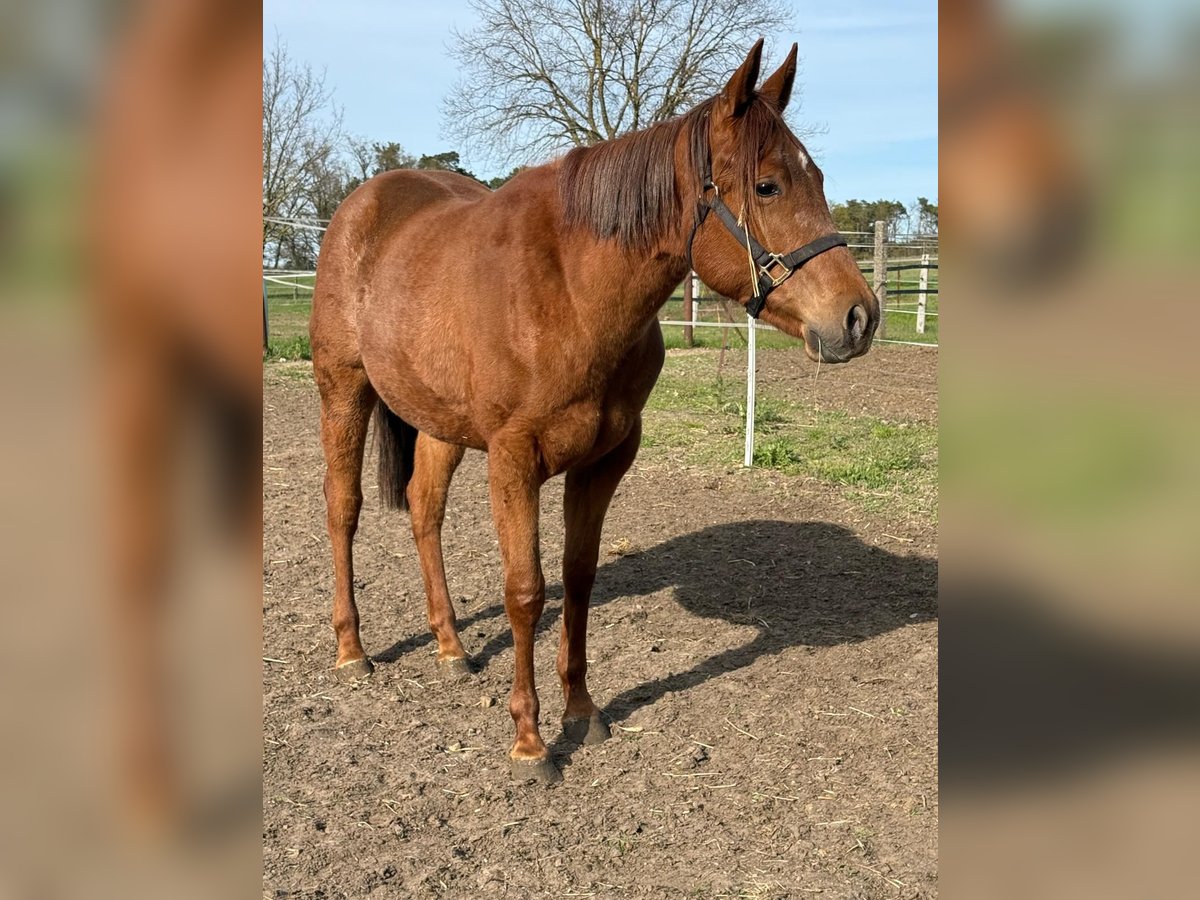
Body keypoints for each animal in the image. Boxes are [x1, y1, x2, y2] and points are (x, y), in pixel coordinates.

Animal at [310, 40, 879, 782]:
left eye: (817, 178)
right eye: (768, 187)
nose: (860, 317)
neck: (572, 292)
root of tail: (360, 207)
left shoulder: (604, 460)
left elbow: (578, 580)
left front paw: (581, 709)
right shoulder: (514, 461)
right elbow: (527, 591)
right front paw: (529, 740)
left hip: (440, 422)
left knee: (424, 508)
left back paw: (451, 645)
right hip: (342, 390)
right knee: (343, 509)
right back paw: (352, 650)